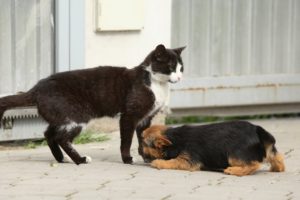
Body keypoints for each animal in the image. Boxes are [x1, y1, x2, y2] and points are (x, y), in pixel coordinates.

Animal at [0, 44, 184, 165]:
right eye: (170, 67)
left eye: (181, 68)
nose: (180, 77)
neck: (156, 84)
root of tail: (36, 88)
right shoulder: (129, 115)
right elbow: (127, 140)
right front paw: (127, 159)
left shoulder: (146, 118)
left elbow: (143, 138)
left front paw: (146, 157)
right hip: (75, 116)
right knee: (61, 138)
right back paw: (80, 160)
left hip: (60, 116)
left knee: (49, 133)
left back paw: (61, 158)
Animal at [142, 121, 284, 176]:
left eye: (143, 143)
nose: (138, 150)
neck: (175, 139)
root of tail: (257, 130)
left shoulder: (187, 160)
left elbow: (172, 162)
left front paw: (158, 162)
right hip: (268, 148)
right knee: (277, 156)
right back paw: (277, 168)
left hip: (234, 155)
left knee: (253, 164)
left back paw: (233, 171)